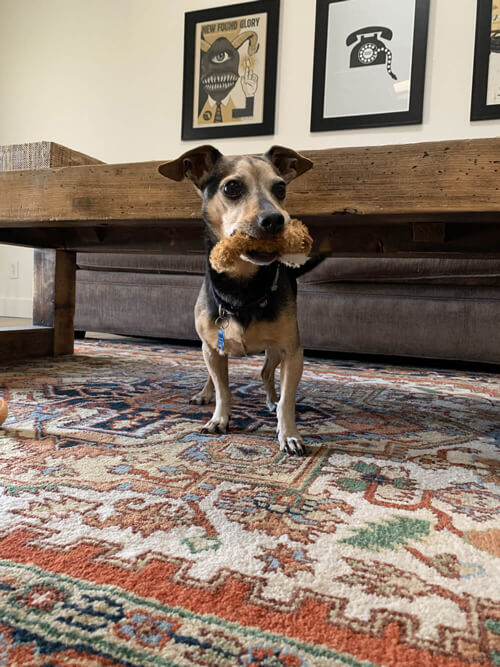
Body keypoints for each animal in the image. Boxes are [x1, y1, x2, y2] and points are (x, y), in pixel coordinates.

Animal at [159, 147, 316, 456]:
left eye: (281, 188)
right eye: (232, 187)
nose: (275, 219)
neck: (242, 289)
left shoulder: (293, 352)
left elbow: (288, 400)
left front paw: (289, 434)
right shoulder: (211, 347)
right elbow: (224, 390)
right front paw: (219, 418)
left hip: (274, 351)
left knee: (266, 373)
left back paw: (270, 399)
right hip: (210, 347)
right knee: (216, 374)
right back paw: (205, 393)